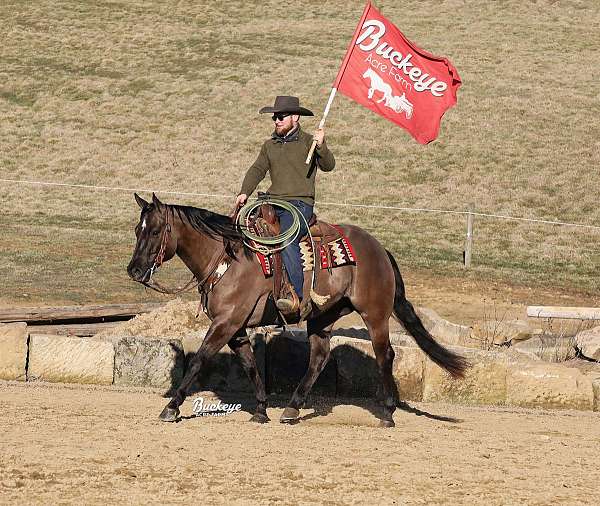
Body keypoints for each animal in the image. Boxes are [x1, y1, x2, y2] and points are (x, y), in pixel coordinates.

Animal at [127, 194, 468, 426]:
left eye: (154, 231)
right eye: (136, 230)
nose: (134, 270)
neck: (228, 257)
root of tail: (379, 248)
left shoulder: (226, 323)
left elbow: (199, 360)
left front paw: (172, 406)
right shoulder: (235, 327)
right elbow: (250, 364)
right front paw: (261, 409)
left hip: (375, 315)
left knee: (385, 355)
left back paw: (387, 411)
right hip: (324, 315)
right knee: (319, 357)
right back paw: (292, 407)